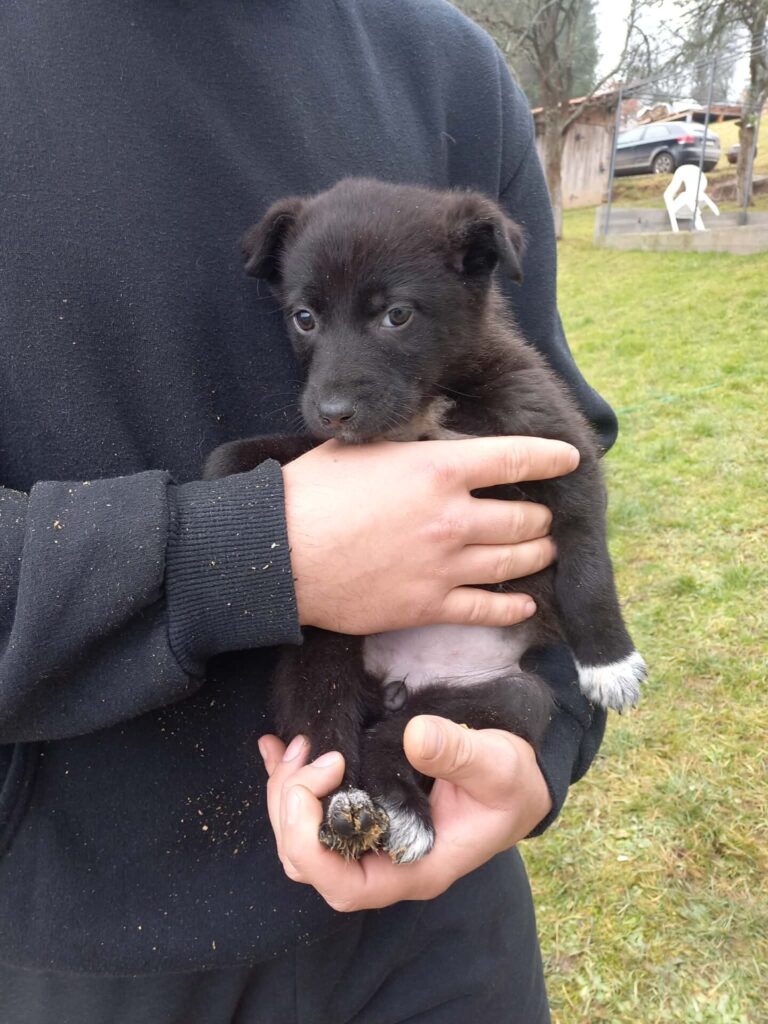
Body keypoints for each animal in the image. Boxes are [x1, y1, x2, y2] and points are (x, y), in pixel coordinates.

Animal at [204, 178, 646, 863]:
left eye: (397, 315)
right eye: (305, 318)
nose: (332, 410)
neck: (431, 405)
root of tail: (404, 684)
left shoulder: (565, 456)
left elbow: (587, 570)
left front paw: (610, 662)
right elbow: (272, 451)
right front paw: (231, 476)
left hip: (506, 697)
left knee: (399, 736)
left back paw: (399, 809)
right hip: (326, 652)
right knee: (332, 740)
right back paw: (350, 810)